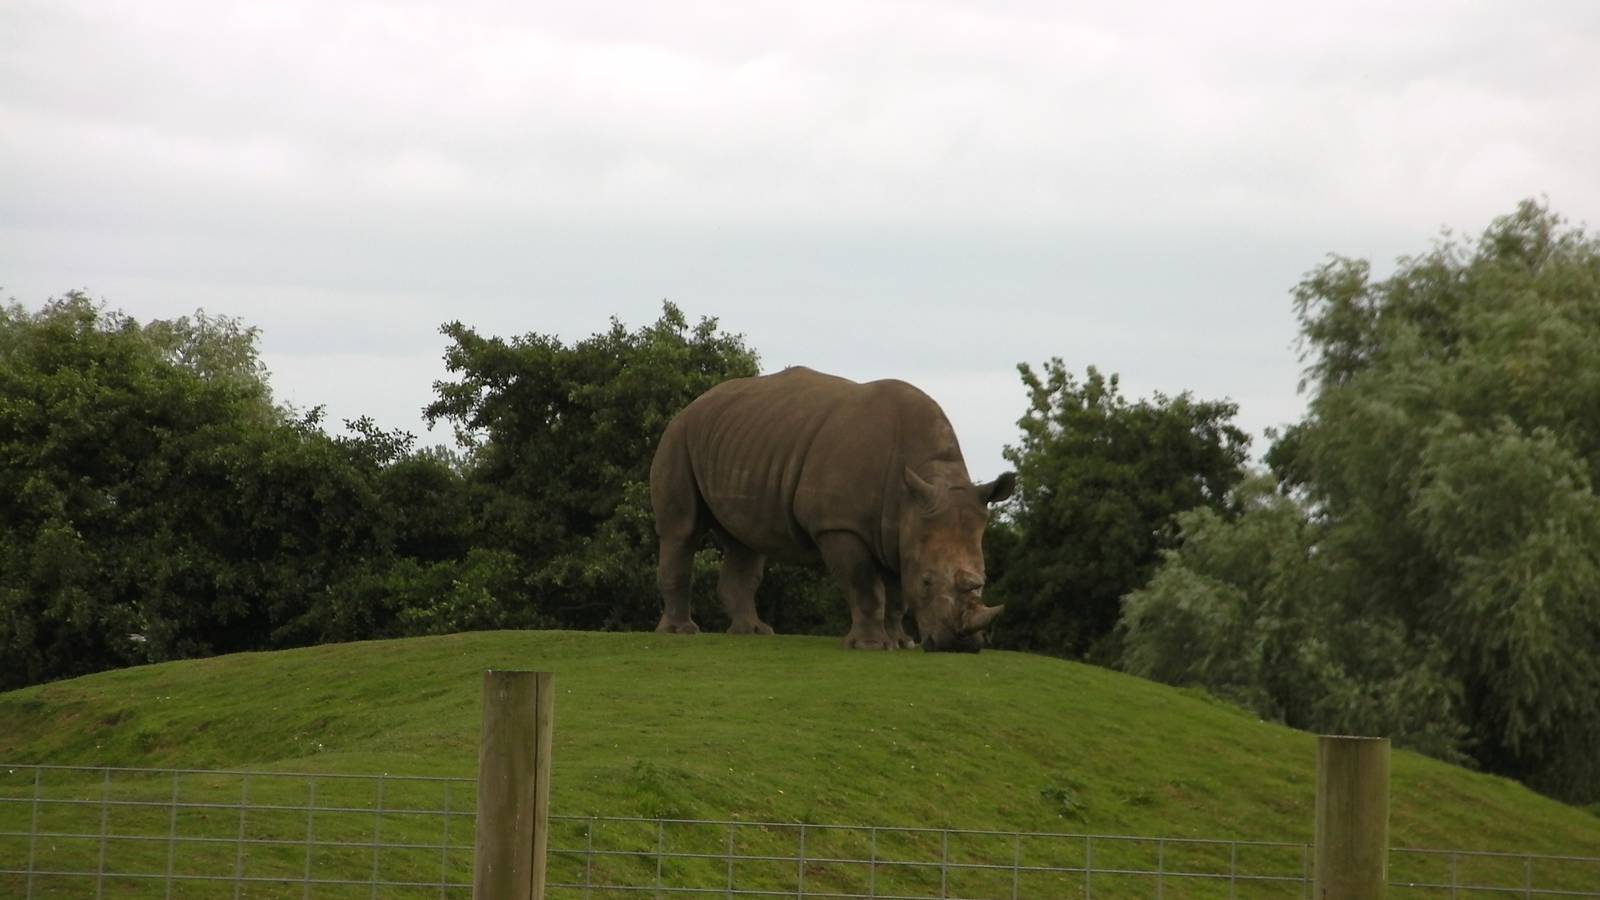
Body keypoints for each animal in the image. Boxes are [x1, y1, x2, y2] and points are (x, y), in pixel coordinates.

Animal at [650, 366, 1015, 652]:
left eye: (983, 579)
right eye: (927, 581)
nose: (959, 646)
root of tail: (695, 402)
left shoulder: (902, 530)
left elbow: (897, 593)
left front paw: (900, 642)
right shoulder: (839, 524)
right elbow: (864, 584)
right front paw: (871, 646)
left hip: (739, 442)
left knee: (745, 543)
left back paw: (753, 633)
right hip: (679, 437)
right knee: (682, 531)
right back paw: (681, 633)